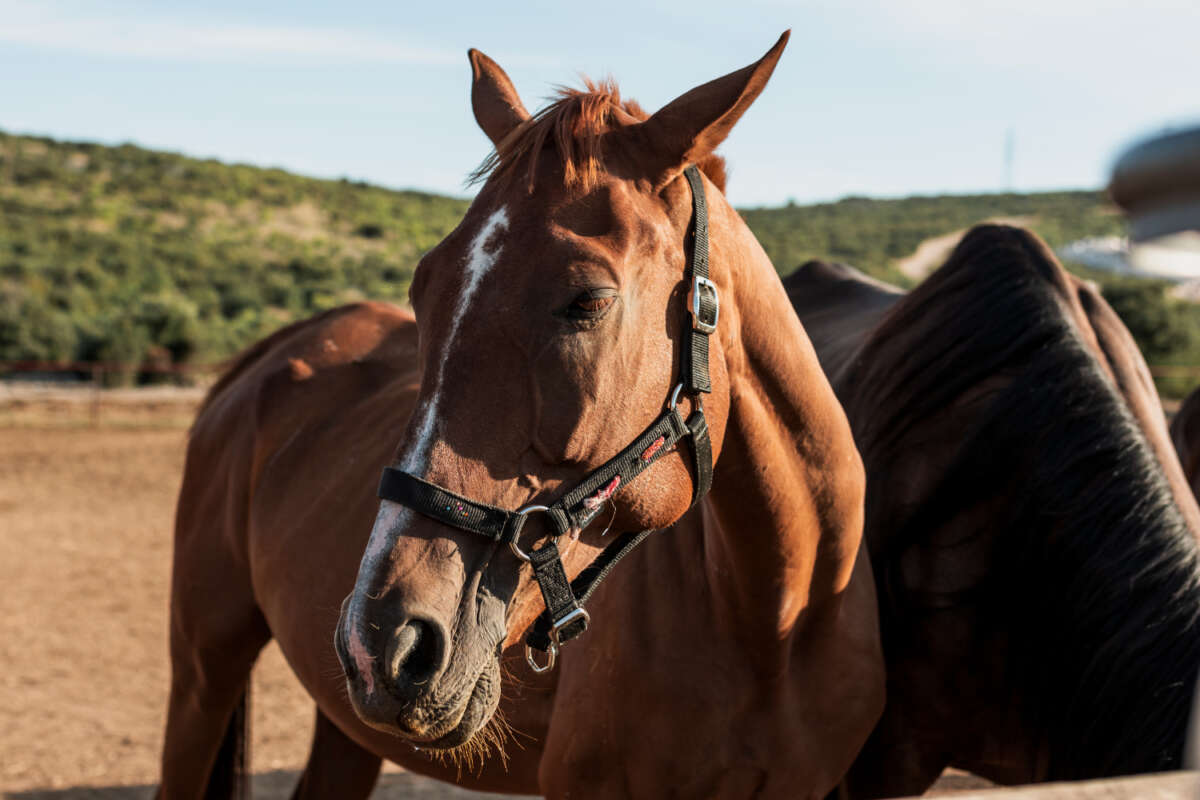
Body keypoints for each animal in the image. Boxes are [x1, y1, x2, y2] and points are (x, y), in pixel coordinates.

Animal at [159, 32, 888, 800]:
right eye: (424, 287)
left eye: (589, 301)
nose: (385, 641)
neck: (774, 619)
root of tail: (268, 356)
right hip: (204, 670)